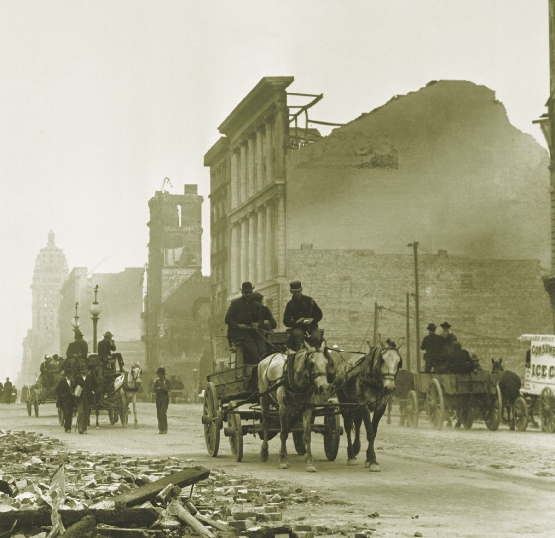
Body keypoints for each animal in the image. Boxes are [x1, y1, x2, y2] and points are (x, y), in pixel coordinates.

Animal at [258, 340, 334, 468]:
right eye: (311, 364)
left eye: (326, 362)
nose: (324, 387)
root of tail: (267, 358)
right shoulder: (283, 409)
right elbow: (283, 433)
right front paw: (283, 460)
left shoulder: (307, 409)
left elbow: (307, 434)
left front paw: (309, 462)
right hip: (264, 399)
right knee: (266, 424)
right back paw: (264, 452)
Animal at [334, 338, 404, 472]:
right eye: (382, 359)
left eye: (399, 361)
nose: (389, 387)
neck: (374, 382)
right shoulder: (364, 404)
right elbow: (370, 433)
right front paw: (373, 461)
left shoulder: (380, 406)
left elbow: (373, 431)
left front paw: (369, 458)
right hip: (346, 402)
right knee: (348, 425)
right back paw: (351, 455)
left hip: (356, 405)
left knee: (357, 423)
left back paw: (356, 447)